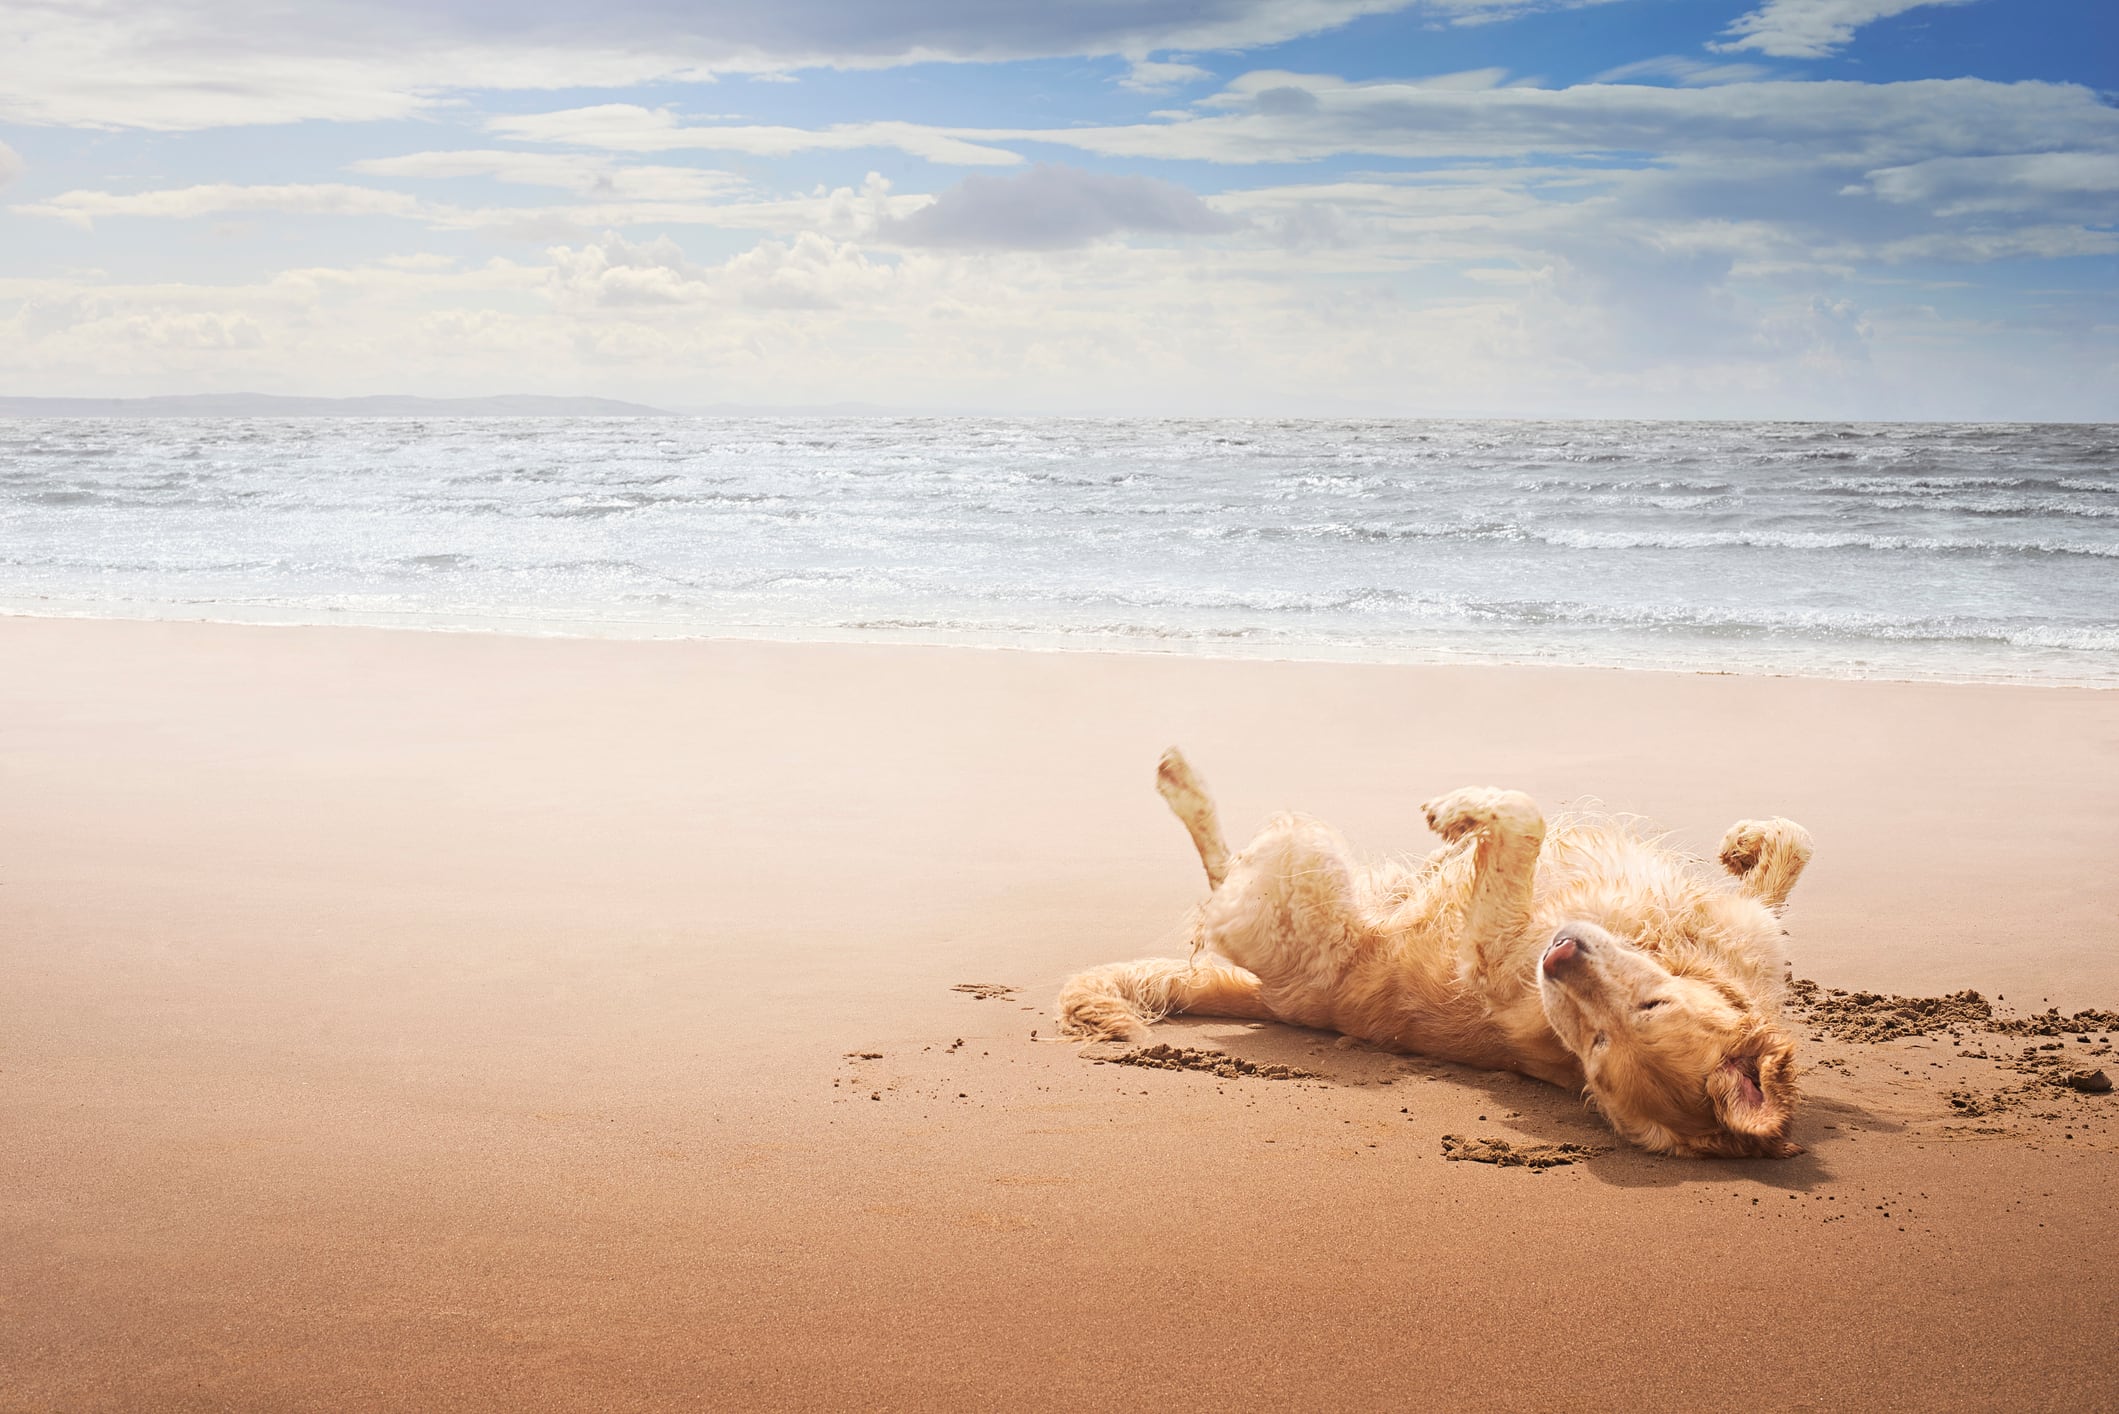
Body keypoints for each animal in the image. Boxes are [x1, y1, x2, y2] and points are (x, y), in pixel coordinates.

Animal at [1051, 750, 1813, 1161]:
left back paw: (1179, 780)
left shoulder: (1497, 949)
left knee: (1221, 873)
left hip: (1301, 864)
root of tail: (1277, 1001)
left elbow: (1524, 813)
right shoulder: (1745, 927)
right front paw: (1746, 841)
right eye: (1648, 1004)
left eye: (1598, 1048)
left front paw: (1462, 811)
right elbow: (1795, 845)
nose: (1559, 955)